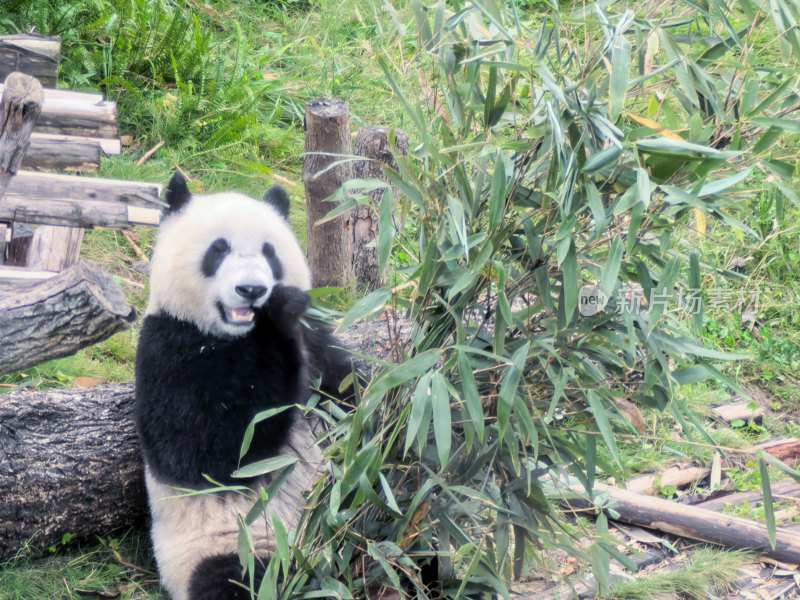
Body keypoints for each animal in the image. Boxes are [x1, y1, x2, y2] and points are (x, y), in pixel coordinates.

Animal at [138, 171, 354, 600]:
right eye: (219, 250)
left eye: (269, 252)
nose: (252, 290)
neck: (236, 336)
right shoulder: (170, 348)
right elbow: (213, 452)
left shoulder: (319, 344)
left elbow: (354, 393)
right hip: (236, 546)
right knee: (238, 582)